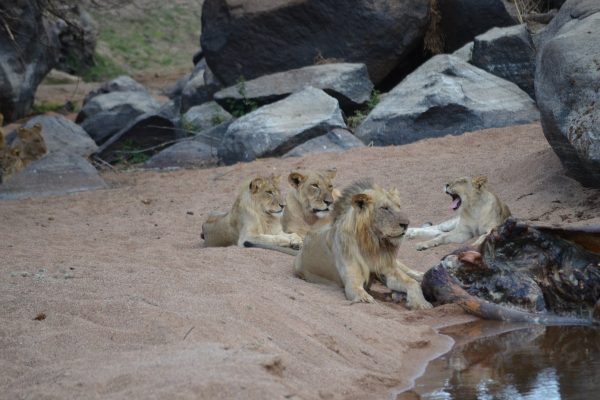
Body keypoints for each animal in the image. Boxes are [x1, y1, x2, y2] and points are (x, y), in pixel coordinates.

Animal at [290, 181, 432, 310]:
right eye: (385, 208)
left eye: (399, 206)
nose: (406, 224)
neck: (373, 244)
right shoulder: (352, 281)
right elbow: (359, 292)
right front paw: (367, 298)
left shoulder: (388, 269)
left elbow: (412, 283)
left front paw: (421, 303)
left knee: (408, 271)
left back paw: (420, 275)